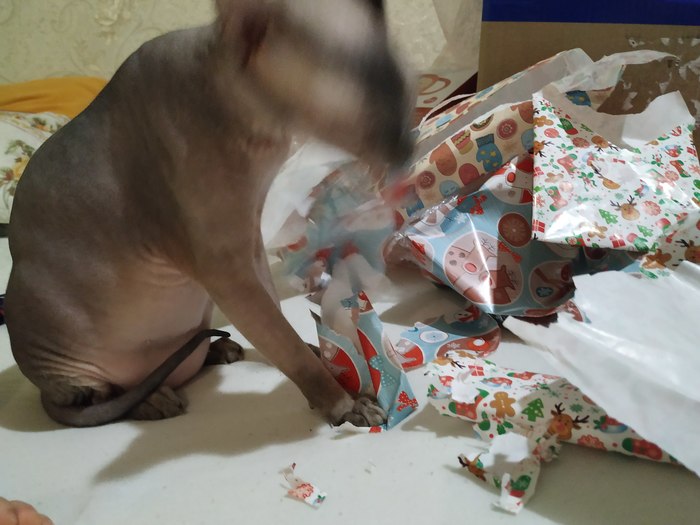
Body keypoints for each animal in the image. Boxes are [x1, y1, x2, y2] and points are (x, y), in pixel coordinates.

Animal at [5, 0, 413, 427]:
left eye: (404, 86)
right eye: (357, 109)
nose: (407, 149)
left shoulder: (250, 241)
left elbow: (281, 322)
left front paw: (326, 356)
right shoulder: (225, 269)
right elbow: (282, 341)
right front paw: (342, 401)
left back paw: (219, 350)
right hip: (64, 356)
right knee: (101, 397)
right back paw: (152, 399)